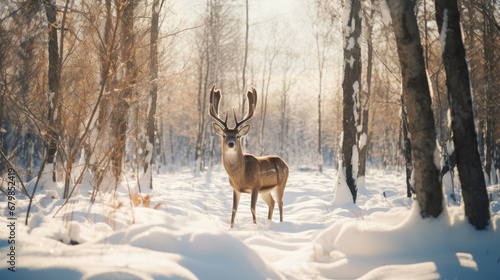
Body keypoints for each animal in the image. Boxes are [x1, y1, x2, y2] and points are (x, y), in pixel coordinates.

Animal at [209, 85, 292, 228]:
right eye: (224, 136)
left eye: (237, 136)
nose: (231, 143)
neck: (240, 175)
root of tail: (284, 163)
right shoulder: (235, 188)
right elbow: (234, 210)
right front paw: (231, 227)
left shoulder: (255, 186)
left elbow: (252, 208)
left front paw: (255, 226)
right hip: (265, 190)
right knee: (272, 203)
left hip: (281, 183)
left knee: (280, 203)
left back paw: (281, 223)